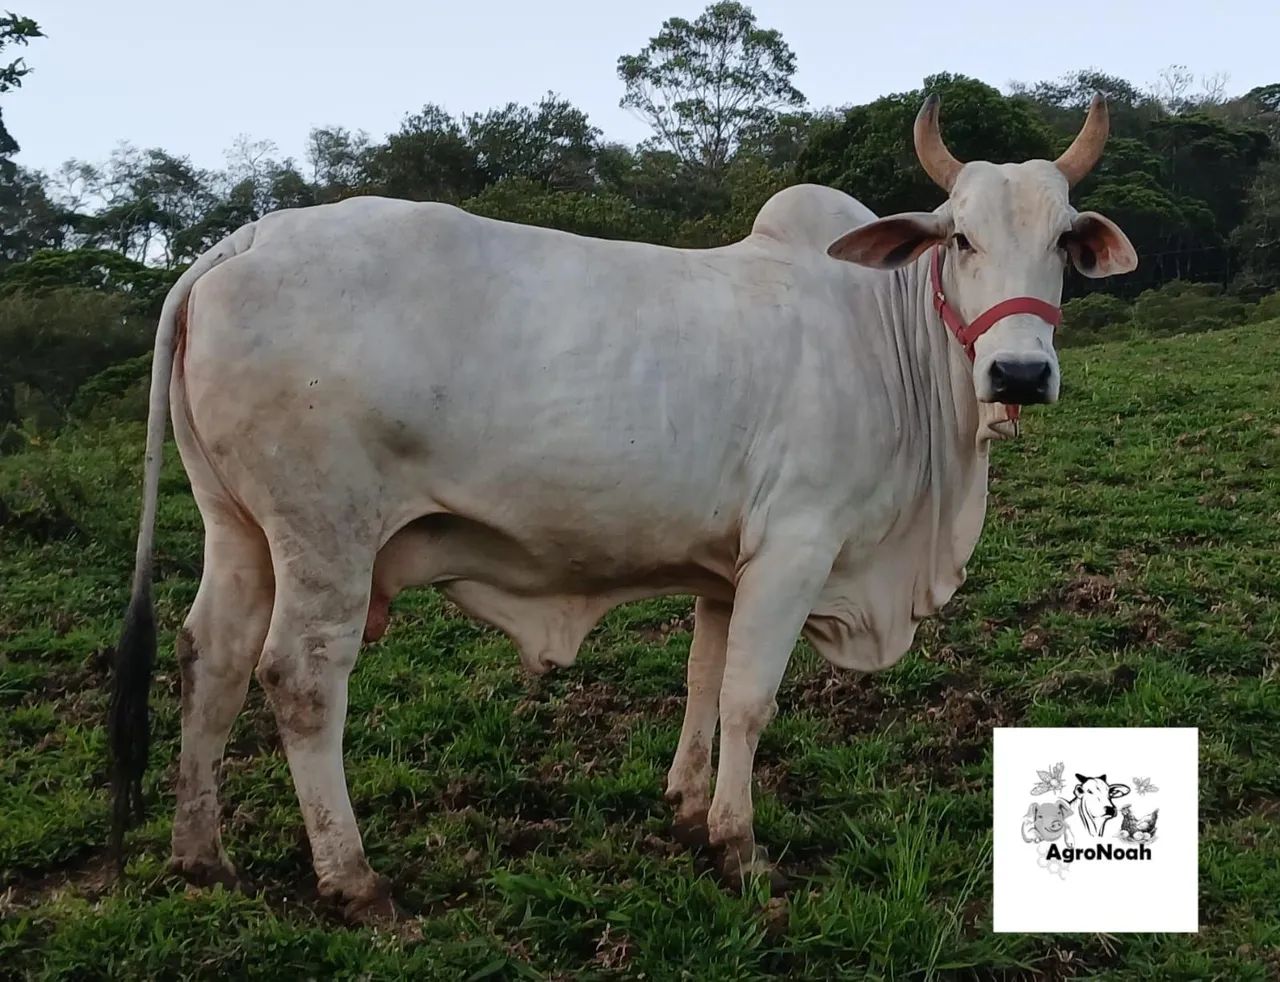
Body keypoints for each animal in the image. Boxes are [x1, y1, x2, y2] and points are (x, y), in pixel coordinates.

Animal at [108, 95, 1136, 922]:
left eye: (1063, 239)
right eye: (960, 237)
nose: (1018, 373)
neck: (886, 338)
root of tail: (242, 241)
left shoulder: (729, 566)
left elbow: (704, 681)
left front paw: (684, 808)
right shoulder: (797, 546)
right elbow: (751, 698)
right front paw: (739, 847)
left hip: (238, 527)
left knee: (213, 656)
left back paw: (201, 857)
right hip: (325, 534)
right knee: (300, 677)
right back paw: (352, 879)